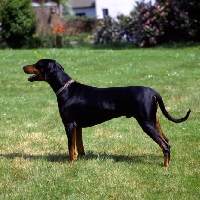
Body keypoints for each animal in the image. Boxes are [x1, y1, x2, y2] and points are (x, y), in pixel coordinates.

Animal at [22, 58, 190, 166]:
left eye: (37, 64)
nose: (23, 66)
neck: (66, 89)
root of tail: (153, 92)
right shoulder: (77, 125)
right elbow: (78, 146)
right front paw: (80, 159)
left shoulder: (69, 124)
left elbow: (70, 147)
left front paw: (70, 163)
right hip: (153, 120)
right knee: (166, 140)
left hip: (146, 123)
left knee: (165, 145)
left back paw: (165, 166)